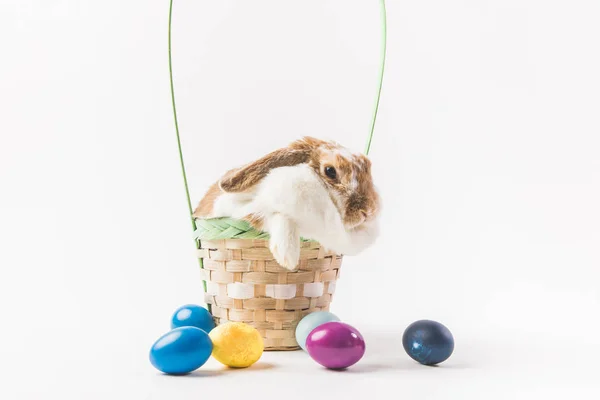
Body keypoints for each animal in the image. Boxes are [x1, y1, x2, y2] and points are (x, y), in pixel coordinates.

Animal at [192, 136, 380, 270]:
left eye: (369, 168)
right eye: (330, 171)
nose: (368, 212)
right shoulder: (240, 209)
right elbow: (278, 215)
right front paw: (287, 256)